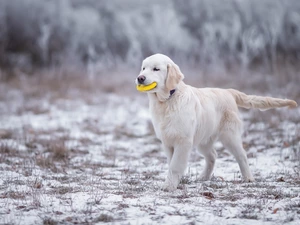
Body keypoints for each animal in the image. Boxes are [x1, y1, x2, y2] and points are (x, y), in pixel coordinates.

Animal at [136, 53, 298, 191]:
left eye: (156, 69)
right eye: (143, 68)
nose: (140, 78)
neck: (167, 101)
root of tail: (229, 92)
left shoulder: (183, 141)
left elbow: (175, 165)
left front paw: (169, 186)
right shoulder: (167, 141)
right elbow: (171, 163)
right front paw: (175, 182)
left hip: (229, 136)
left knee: (241, 155)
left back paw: (248, 178)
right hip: (204, 138)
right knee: (212, 156)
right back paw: (203, 177)